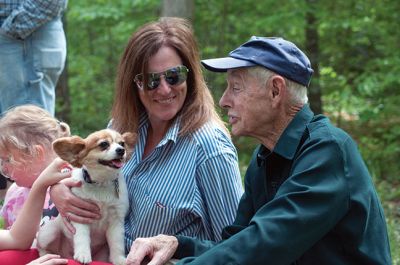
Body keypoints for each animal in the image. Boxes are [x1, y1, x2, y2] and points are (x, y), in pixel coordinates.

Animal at [37, 127, 138, 262]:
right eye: (104, 144)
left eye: (122, 144)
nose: (121, 150)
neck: (101, 183)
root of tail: (65, 254)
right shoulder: (80, 215)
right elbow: (82, 237)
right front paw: (83, 254)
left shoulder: (116, 220)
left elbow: (117, 244)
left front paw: (119, 260)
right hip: (48, 233)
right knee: (42, 248)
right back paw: (47, 257)